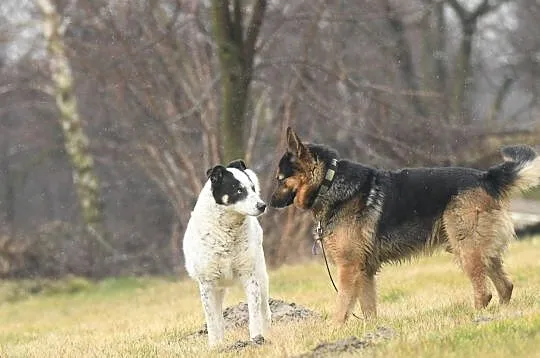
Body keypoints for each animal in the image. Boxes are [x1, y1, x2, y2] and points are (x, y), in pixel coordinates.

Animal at [184, 159, 272, 346]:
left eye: (253, 188)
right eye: (238, 190)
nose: (262, 206)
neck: (227, 230)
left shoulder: (250, 277)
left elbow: (254, 315)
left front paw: (256, 339)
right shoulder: (207, 285)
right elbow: (212, 321)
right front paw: (215, 346)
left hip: (262, 277)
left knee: (265, 312)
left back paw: (267, 334)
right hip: (218, 289)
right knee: (218, 319)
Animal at [270, 128, 540, 322]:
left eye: (280, 179)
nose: (268, 204)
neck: (329, 181)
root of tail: (486, 177)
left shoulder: (349, 269)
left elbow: (341, 307)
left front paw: (335, 332)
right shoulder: (364, 271)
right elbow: (368, 310)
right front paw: (373, 332)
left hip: (467, 250)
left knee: (485, 292)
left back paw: (475, 319)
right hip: (480, 251)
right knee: (506, 286)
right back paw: (501, 316)